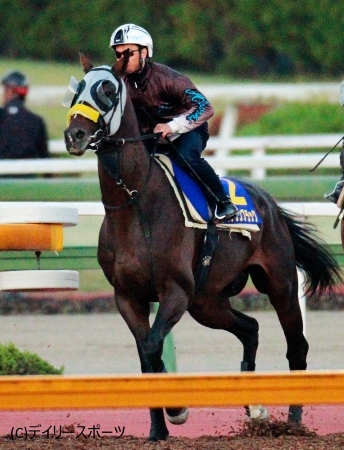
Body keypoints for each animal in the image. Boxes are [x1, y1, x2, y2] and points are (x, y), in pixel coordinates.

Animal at [63, 54, 342, 442]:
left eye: (107, 90)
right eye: (77, 89)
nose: (74, 135)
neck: (135, 203)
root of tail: (269, 201)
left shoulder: (175, 290)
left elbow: (153, 345)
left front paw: (177, 409)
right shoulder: (128, 296)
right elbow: (145, 356)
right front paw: (157, 430)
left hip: (279, 283)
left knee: (296, 346)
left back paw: (294, 422)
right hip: (207, 301)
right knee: (250, 328)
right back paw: (254, 408)